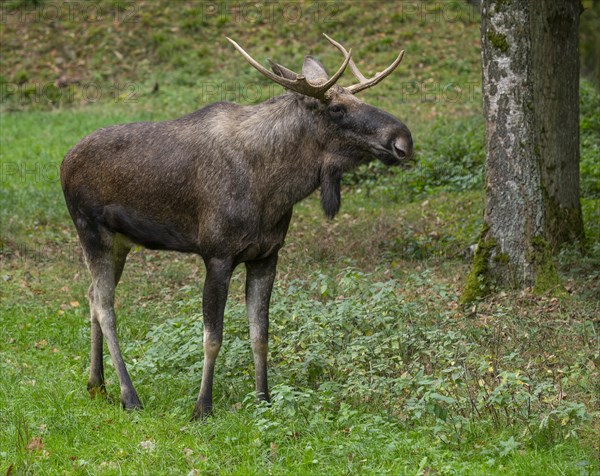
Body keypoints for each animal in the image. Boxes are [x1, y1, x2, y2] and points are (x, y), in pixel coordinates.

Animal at [63, 35, 414, 418]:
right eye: (336, 108)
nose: (403, 140)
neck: (275, 189)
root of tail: (63, 163)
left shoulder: (267, 255)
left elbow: (260, 334)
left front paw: (264, 398)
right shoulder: (217, 254)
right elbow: (212, 338)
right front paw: (202, 406)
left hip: (120, 243)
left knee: (91, 295)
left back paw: (97, 384)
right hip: (91, 231)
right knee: (105, 306)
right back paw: (129, 395)